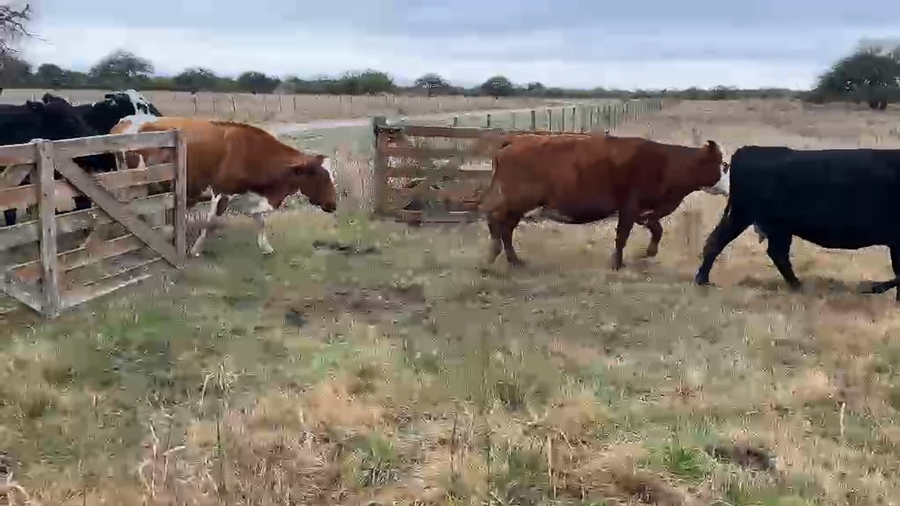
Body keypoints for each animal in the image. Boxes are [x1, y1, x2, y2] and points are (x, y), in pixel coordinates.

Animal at [108, 116, 337, 257]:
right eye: (321, 178)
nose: (333, 204)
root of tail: (125, 120)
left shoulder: (249, 194)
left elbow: (261, 221)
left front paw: (266, 247)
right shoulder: (221, 193)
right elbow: (211, 224)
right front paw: (196, 250)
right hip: (134, 182)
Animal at [477, 134, 729, 269]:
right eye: (724, 165)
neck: (667, 163)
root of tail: (514, 142)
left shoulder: (642, 211)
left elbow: (656, 229)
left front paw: (647, 252)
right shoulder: (630, 207)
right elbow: (622, 236)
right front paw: (617, 263)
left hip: (518, 204)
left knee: (506, 227)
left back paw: (514, 260)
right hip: (517, 200)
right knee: (496, 221)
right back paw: (493, 254)